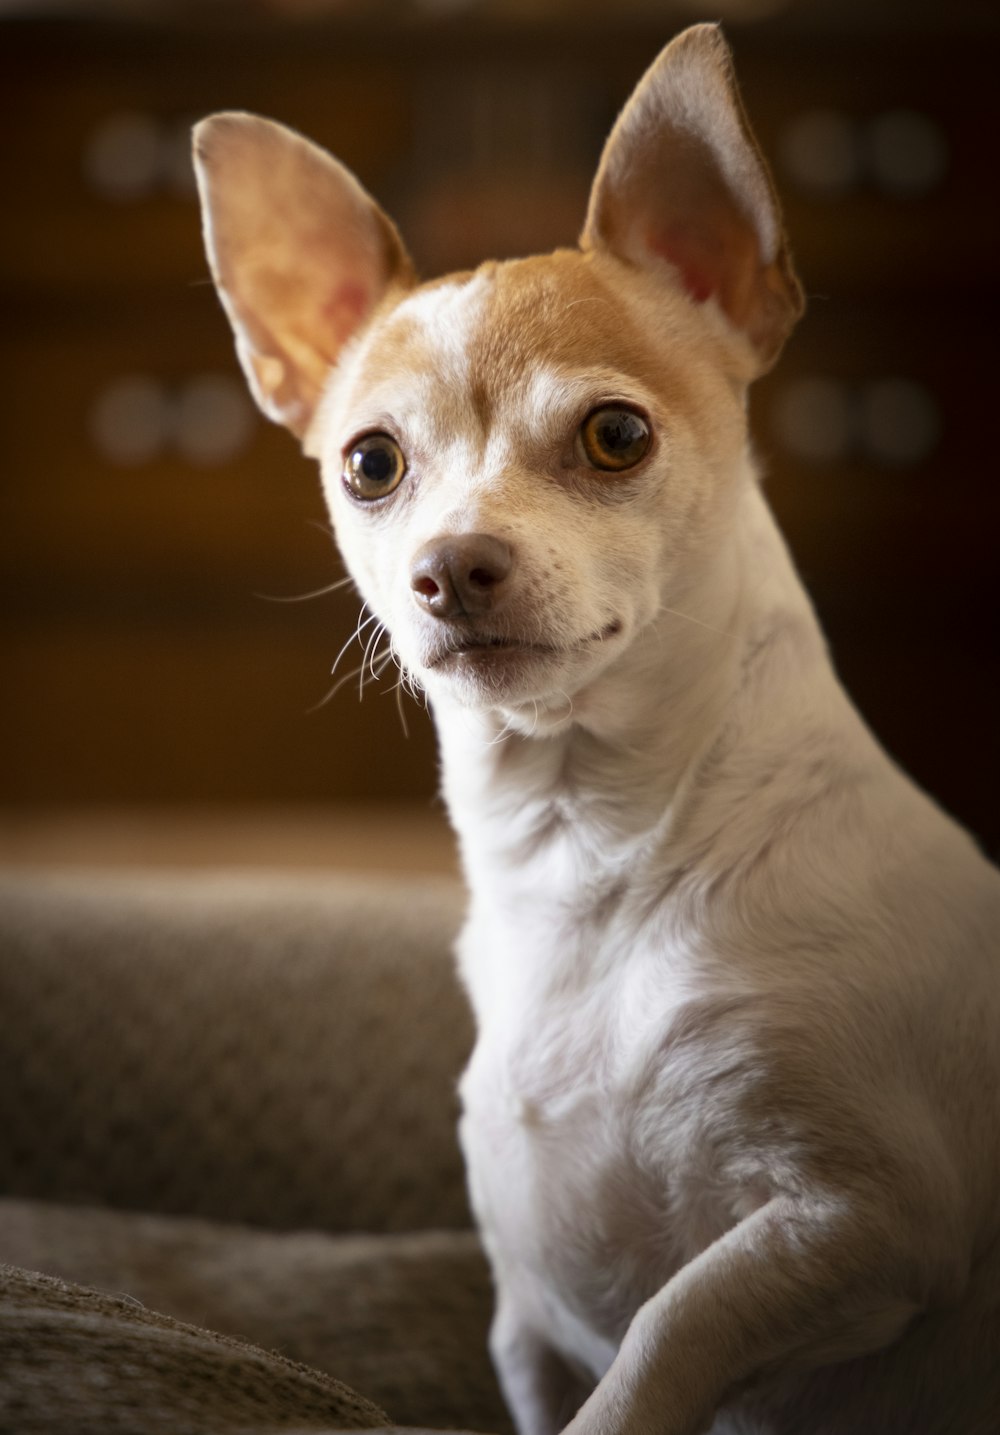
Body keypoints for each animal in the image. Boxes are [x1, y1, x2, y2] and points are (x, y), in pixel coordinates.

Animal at [193, 25, 998, 1435]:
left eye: (615, 434)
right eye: (369, 464)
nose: (450, 568)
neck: (585, 852)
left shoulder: (867, 1220)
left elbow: (664, 1336)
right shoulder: (526, 1325)